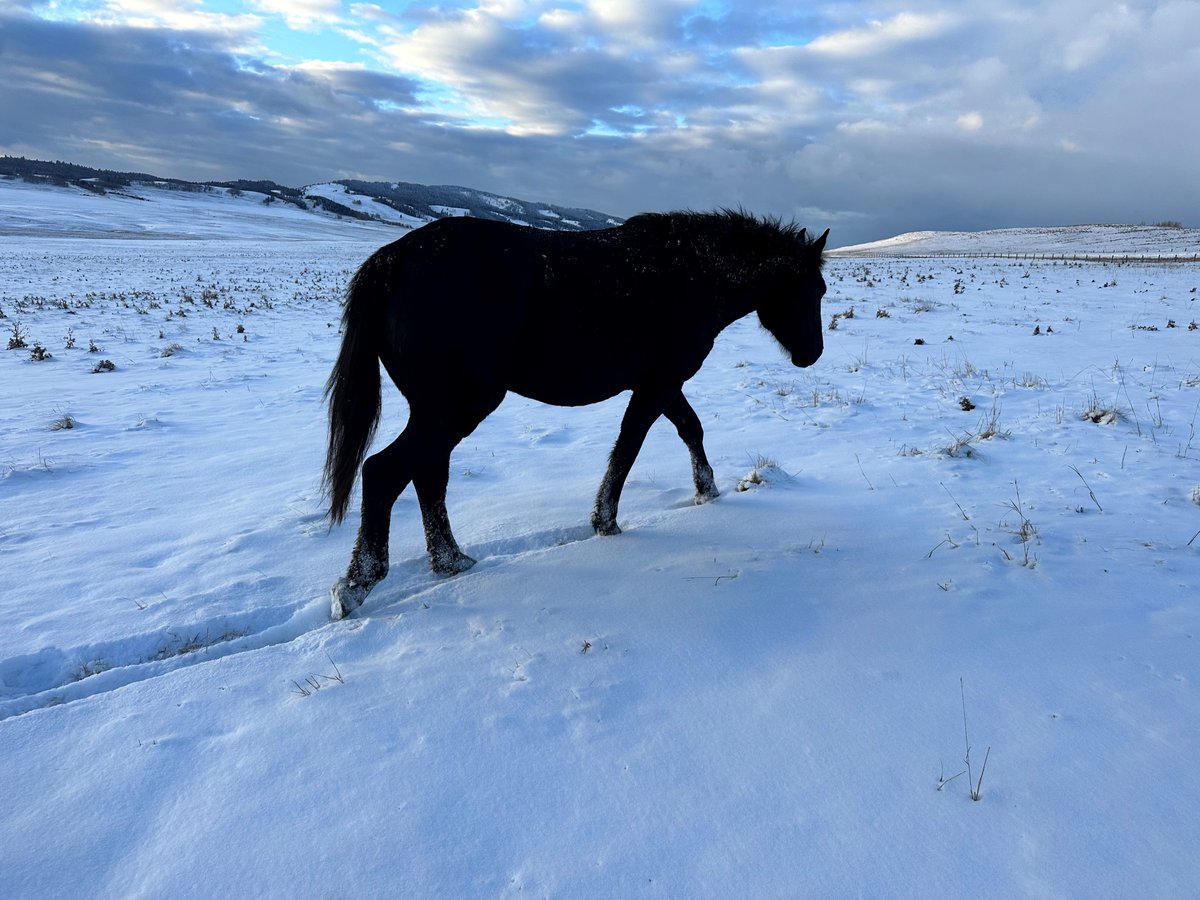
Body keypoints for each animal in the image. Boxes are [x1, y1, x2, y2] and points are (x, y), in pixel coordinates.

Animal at [323, 209, 829, 619]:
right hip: (456, 408)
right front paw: (606, 521)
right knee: (385, 472)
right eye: (814, 289)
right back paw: (357, 585)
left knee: (426, 475)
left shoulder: (662, 385)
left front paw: (707, 491)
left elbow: (689, 429)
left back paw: (451, 562)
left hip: (438, 412)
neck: (693, 274)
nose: (813, 354)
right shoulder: (658, 385)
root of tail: (393, 260)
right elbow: (628, 448)